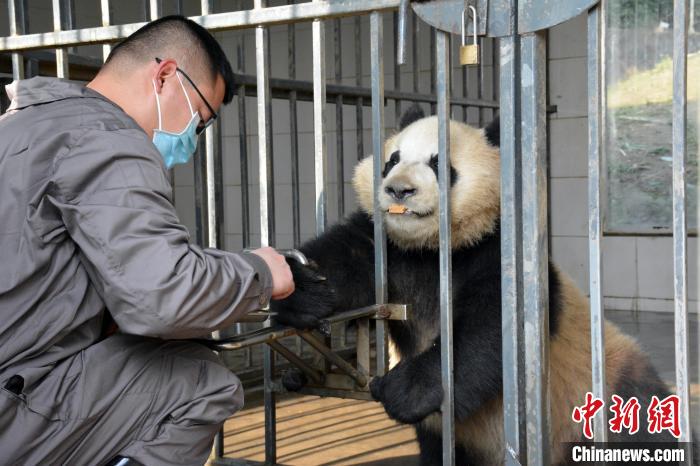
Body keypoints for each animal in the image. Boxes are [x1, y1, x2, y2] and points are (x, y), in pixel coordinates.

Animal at [270, 106, 688, 466]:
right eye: (392, 160)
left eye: (439, 164)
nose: (399, 190)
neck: (434, 247)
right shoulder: (387, 246)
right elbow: (347, 258)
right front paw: (300, 290)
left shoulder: (497, 252)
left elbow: (491, 328)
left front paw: (406, 389)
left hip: (607, 391)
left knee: (643, 429)